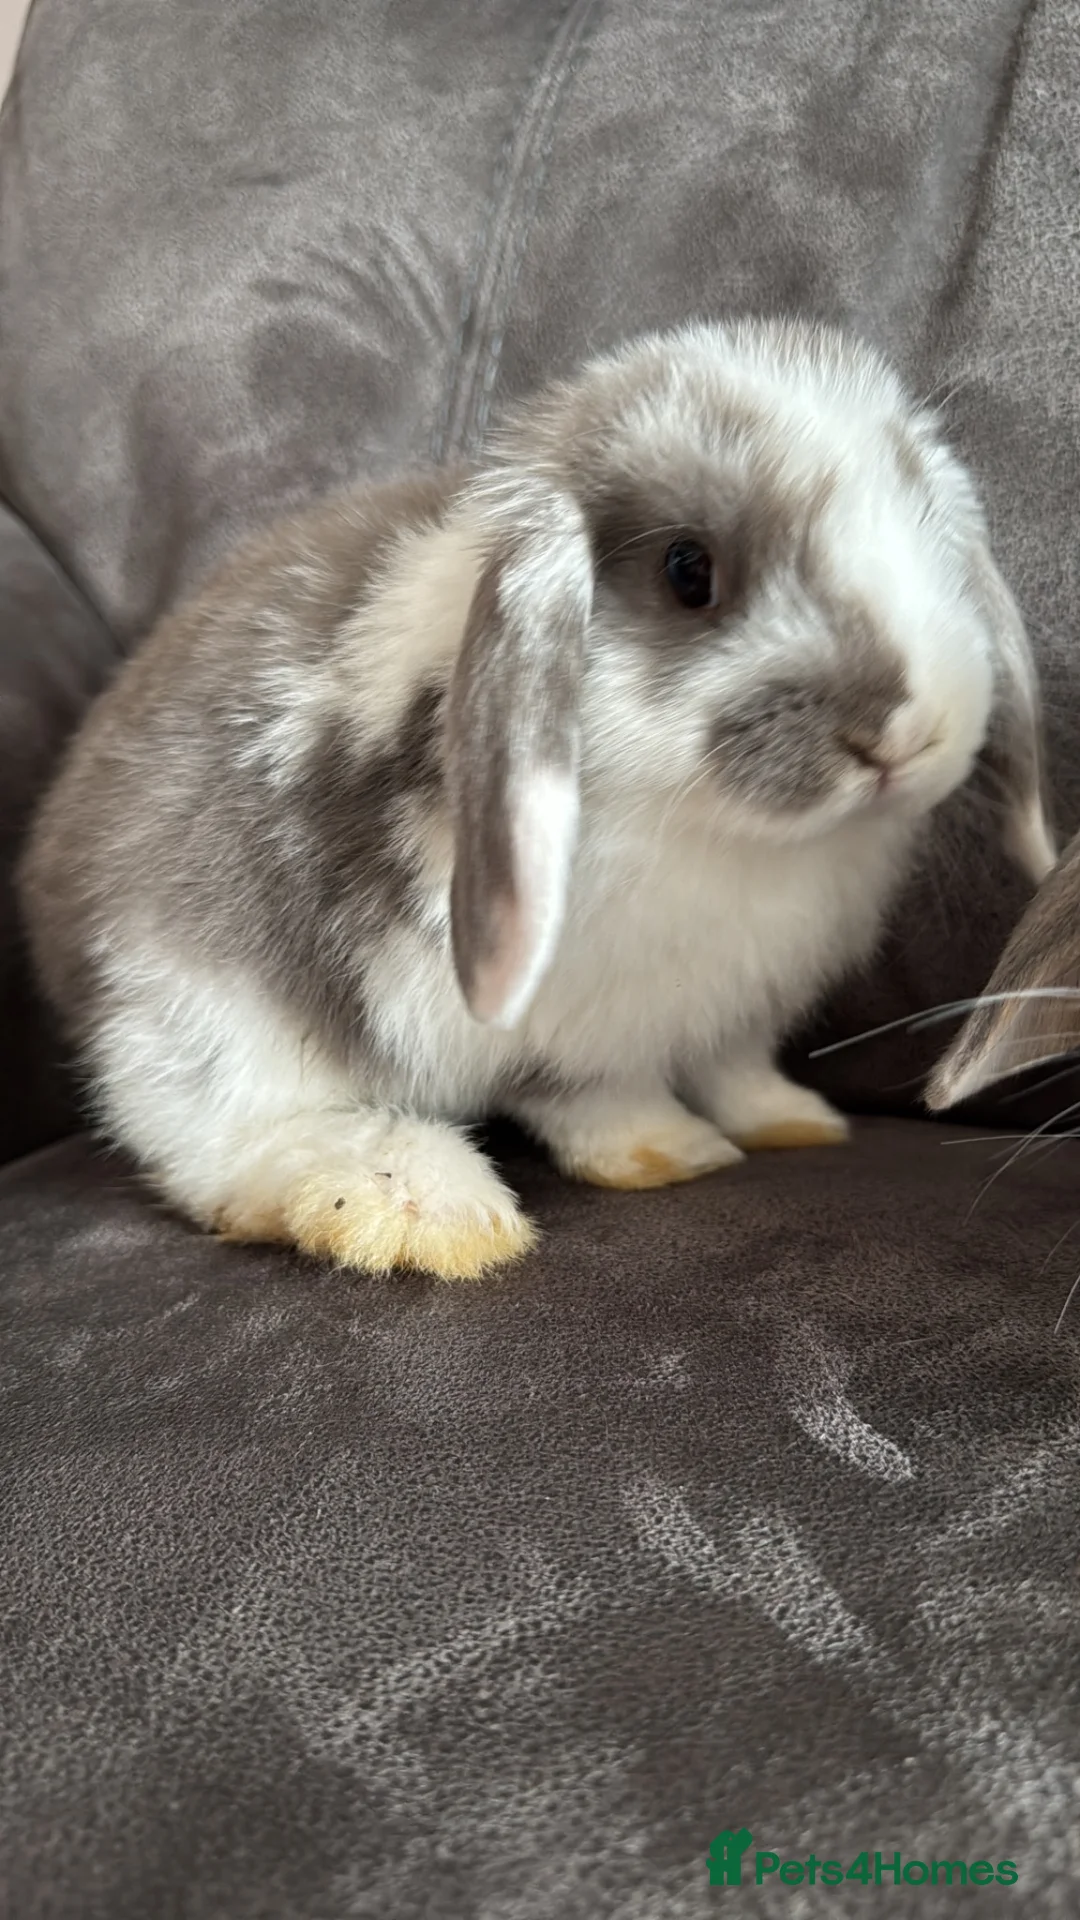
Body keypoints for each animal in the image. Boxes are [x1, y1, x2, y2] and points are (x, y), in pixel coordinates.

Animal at [19, 317, 1055, 1280]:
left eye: (925, 529)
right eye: (689, 571)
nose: (903, 733)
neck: (729, 836)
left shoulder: (734, 1011)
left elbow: (736, 1068)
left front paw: (793, 1120)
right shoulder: (568, 1029)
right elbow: (600, 1098)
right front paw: (673, 1154)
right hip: (203, 1011)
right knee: (218, 1149)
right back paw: (419, 1209)